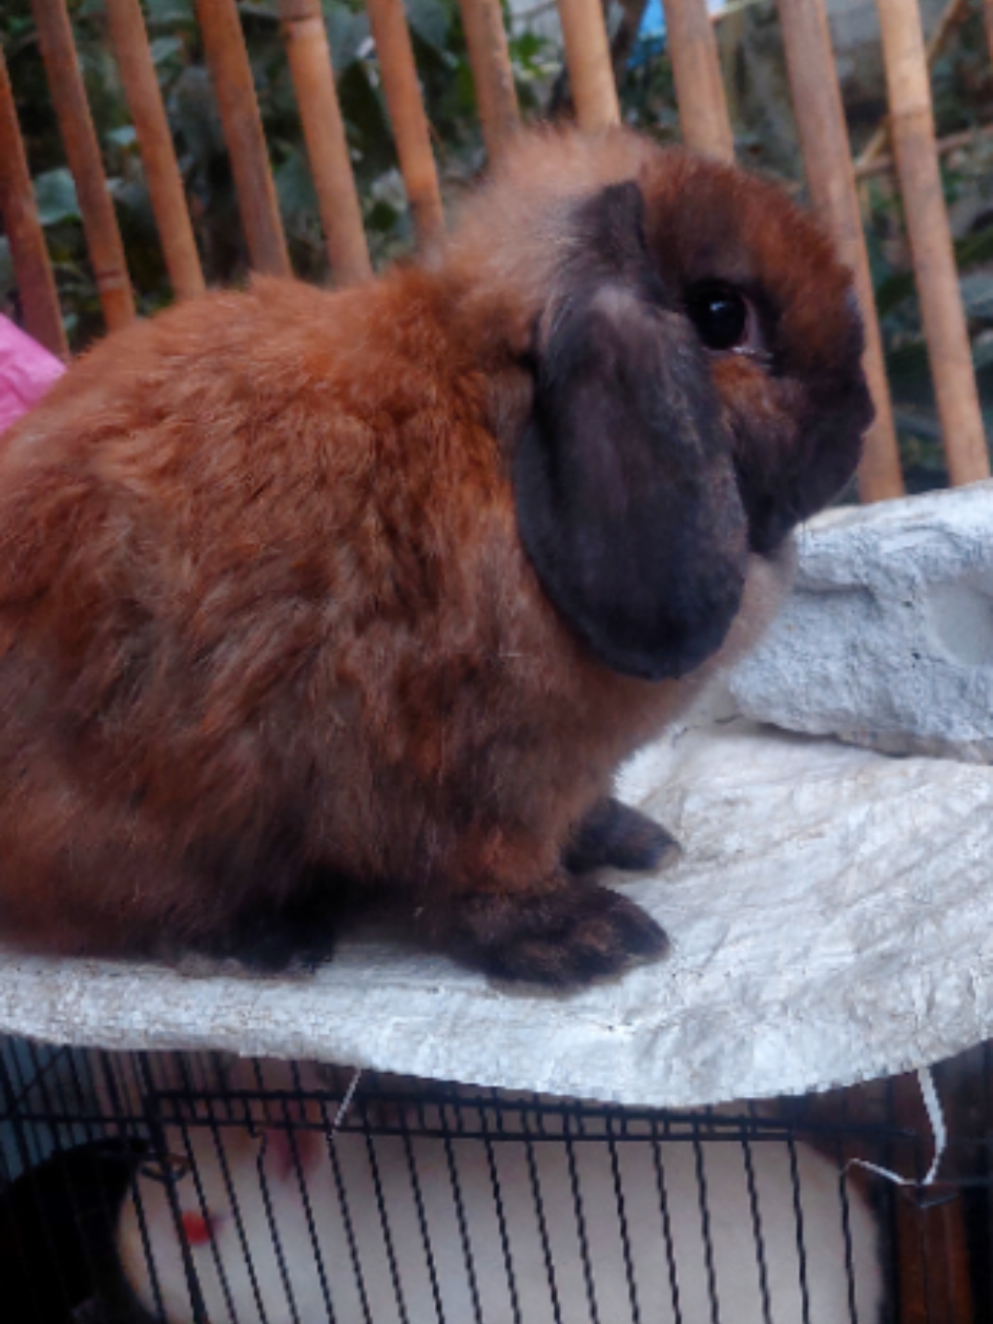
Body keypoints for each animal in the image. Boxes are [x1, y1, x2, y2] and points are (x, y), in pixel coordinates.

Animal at [0, 125, 873, 985]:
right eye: (721, 315)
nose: (859, 418)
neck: (496, 420)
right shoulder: (479, 777)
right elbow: (482, 875)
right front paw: (585, 938)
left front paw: (626, 839)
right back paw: (269, 939)